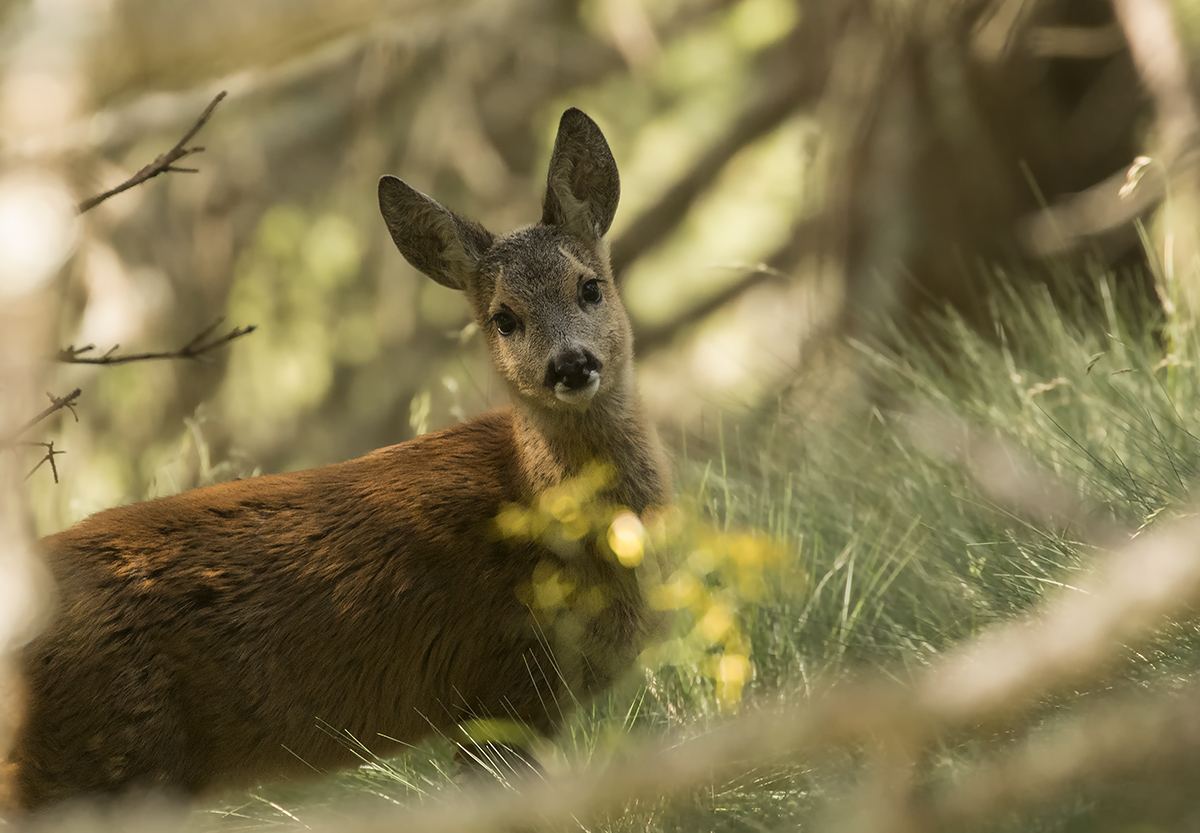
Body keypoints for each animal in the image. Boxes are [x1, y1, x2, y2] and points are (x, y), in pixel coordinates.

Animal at [2, 107, 671, 813]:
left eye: (590, 287)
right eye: (504, 319)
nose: (571, 364)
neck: (542, 511)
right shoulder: (506, 682)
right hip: (107, 758)